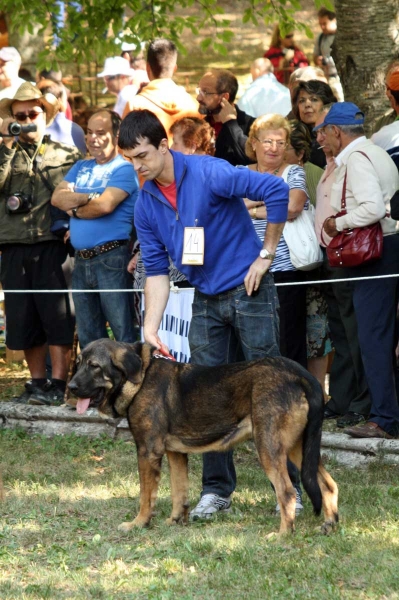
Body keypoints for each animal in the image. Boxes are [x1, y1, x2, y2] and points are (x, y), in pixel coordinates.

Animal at [69, 340, 340, 536]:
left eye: (94, 366)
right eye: (79, 363)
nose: (70, 387)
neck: (140, 377)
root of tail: (301, 375)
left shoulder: (147, 451)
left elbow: (146, 496)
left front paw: (138, 524)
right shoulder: (175, 453)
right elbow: (179, 492)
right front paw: (175, 521)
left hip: (269, 447)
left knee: (287, 492)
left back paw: (283, 535)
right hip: (298, 447)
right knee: (327, 484)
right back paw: (329, 525)